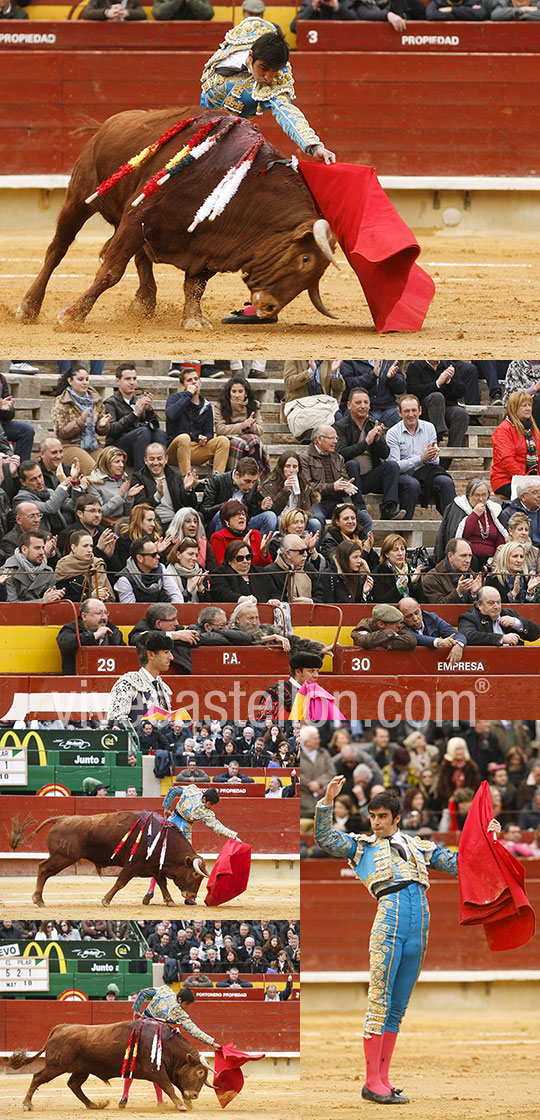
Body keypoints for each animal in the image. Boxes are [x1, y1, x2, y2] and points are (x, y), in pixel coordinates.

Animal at [9, 1021, 210, 1106]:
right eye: (200, 1072)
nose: (194, 1095)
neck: (167, 1044)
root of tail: (61, 1027)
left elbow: (170, 1086)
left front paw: (185, 1103)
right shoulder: (156, 1071)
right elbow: (168, 1086)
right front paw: (180, 1105)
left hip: (82, 1069)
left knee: (74, 1084)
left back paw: (93, 1105)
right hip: (56, 1066)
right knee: (37, 1077)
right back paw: (27, 1104)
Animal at [11, 815, 208, 909]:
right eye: (195, 874)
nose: (192, 896)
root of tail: (61, 818)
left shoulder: (153, 866)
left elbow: (162, 883)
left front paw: (169, 901)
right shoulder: (133, 865)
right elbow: (121, 882)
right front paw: (106, 901)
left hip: (62, 857)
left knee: (43, 869)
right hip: (62, 857)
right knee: (43, 869)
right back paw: (38, 899)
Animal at [19, 106, 340, 327]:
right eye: (305, 259)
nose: (270, 308)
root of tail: (107, 124)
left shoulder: (208, 241)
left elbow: (195, 284)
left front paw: (194, 319)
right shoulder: (139, 214)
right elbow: (111, 270)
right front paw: (73, 315)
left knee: (140, 256)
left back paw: (145, 302)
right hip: (80, 197)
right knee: (57, 249)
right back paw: (29, 307)